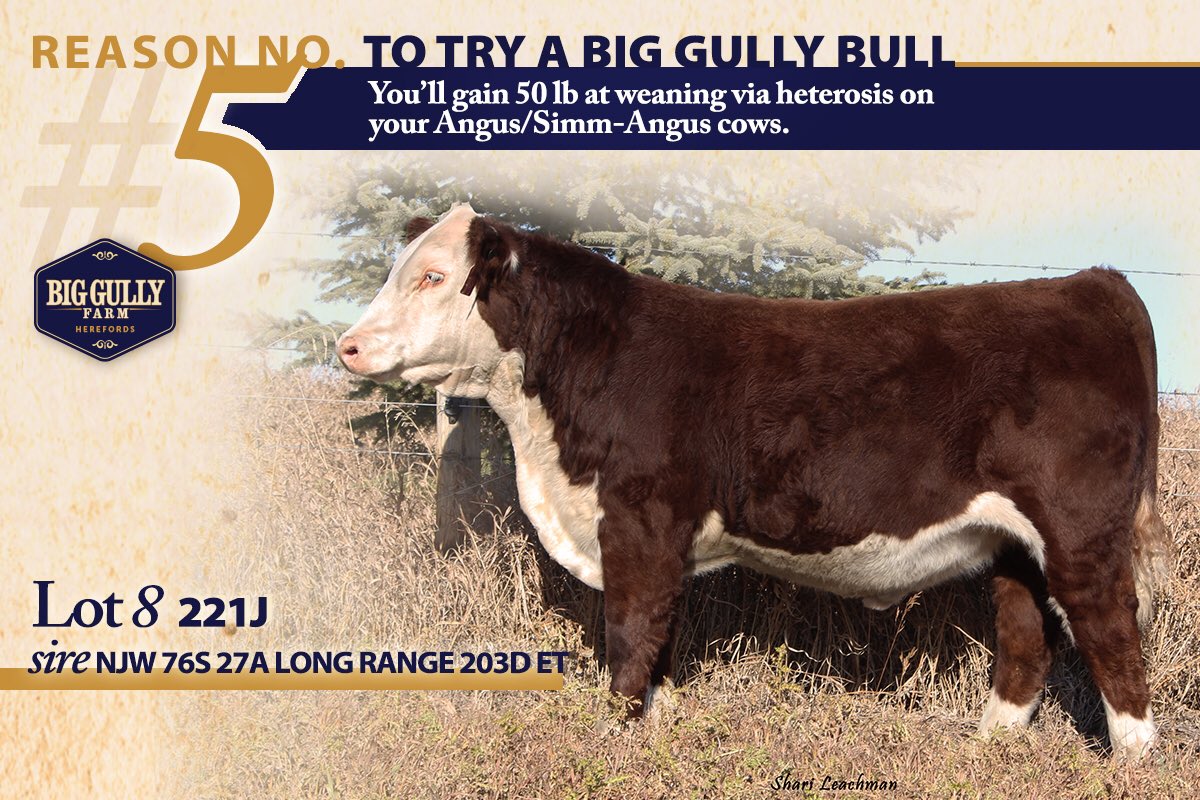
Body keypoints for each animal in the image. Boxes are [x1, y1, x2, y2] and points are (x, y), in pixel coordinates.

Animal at [337, 203, 1172, 759]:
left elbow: (631, 632)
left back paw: (1130, 762)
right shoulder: (654, 539)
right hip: (1011, 539)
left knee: (1110, 629)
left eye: (434, 276)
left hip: (1081, 529)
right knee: (1026, 633)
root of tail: (1089, 284)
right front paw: (658, 731)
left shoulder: (640, 519)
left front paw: (612, 739)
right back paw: (986, 746)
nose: (347, 345)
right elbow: (660, 639)